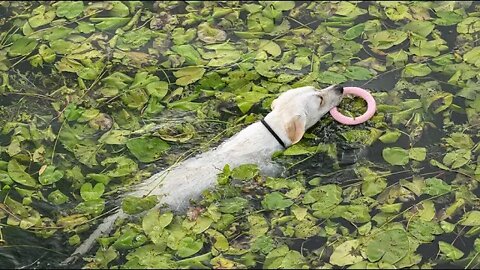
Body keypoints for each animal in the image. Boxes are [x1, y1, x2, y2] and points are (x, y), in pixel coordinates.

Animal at [62, 85, 344, 264]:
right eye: (319, 100)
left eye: (319, 88)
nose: (341, 87)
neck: (270, 129)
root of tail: (129, 206)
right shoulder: (267, 166)